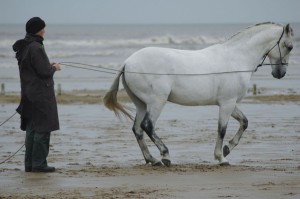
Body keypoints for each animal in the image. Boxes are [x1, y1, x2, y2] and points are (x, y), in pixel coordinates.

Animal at [103, 22, 292, 166]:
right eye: (289, 46)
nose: (280, 73)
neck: (236, 58)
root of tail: (128, 62)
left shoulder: (230, 103)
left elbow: (244, 122)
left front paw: (227, 149)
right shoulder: (227, 103)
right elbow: (221, 129)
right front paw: (221, 158)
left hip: (141, 104)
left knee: (137, 129)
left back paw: (152, 159)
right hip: (157, 101)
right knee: (147, 126)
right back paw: (165, 156)